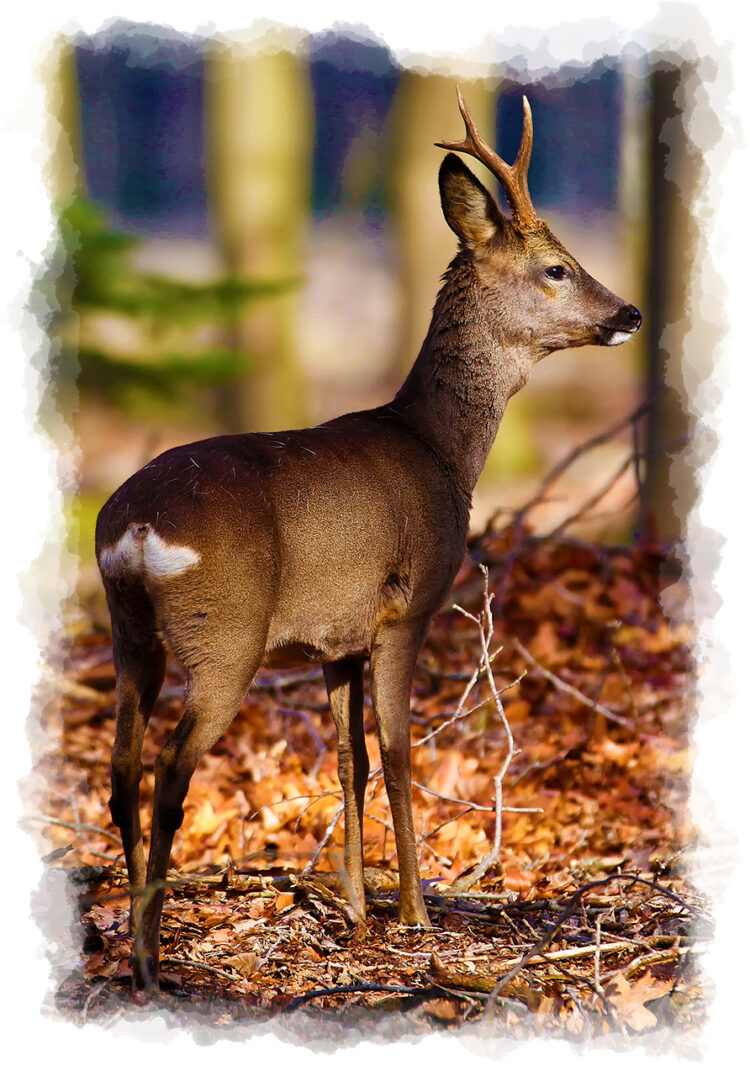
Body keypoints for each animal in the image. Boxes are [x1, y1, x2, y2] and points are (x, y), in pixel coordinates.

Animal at [96, 88, 641, 985]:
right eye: (557, 266)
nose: (627, 312)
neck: (441, 449)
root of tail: (135, 527)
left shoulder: (336, 637)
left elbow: (347, 759)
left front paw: (354, 910)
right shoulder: (407, 606)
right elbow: (396, 749)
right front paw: (414, 911)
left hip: (127, 631)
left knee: (120, 768)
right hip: (226, 633)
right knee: (172, 773)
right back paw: (148, 959)